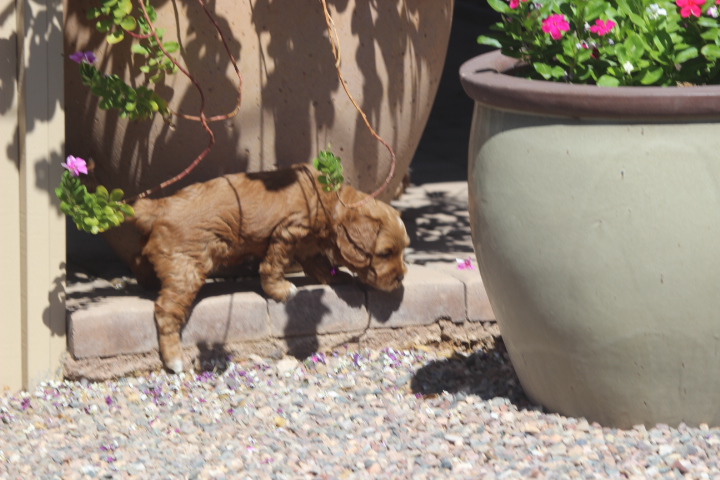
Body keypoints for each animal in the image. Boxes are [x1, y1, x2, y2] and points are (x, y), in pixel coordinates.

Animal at [128, 164, 409, 373]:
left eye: (404, 249)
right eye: (385, 253)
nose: (400, 278)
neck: (329, 200)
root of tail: (159, 205)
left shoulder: (307, 242)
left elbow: (318, 262)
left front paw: (337, 276)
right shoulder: (288, 233)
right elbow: (275, 264)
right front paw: (281, 290)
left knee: (141, 265)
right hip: (187, 266)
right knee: (166, 311)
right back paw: (174, 358)